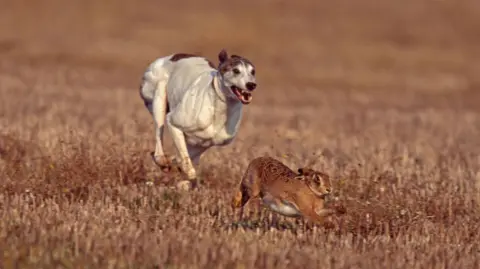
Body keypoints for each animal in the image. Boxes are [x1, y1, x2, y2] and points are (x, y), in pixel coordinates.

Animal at [139, 48, 256, 184]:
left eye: (253, 71)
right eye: (236, 70)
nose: (251, 85)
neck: (219, 109)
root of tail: (169, 57)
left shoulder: (208, 142)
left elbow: (184, 158)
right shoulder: (173, 123)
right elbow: (186, 163)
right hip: (158, 98)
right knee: (158, 143)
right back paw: (162, 161)